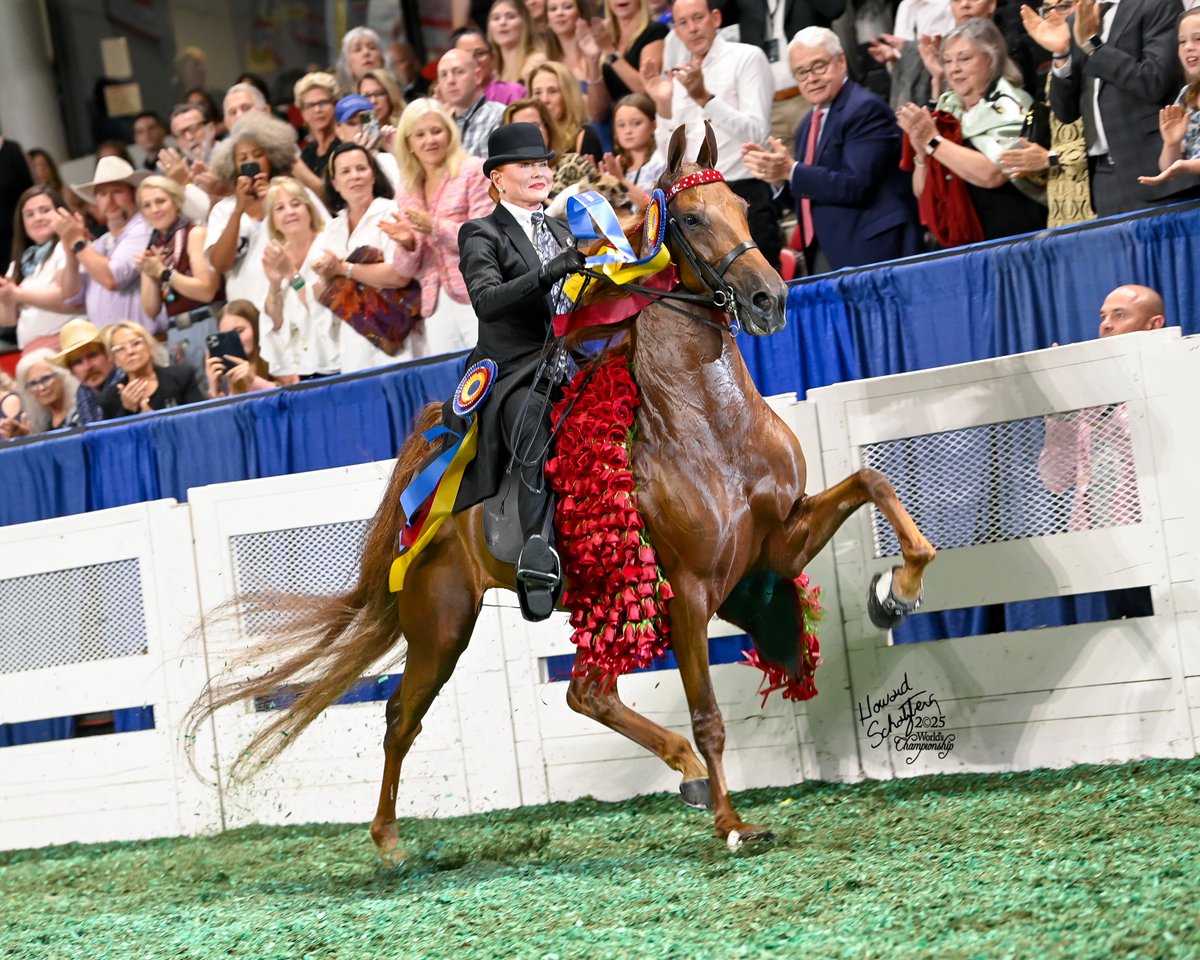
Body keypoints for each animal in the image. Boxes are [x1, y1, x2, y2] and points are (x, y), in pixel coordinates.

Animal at [189, 123, 935, 857]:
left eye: (743, 210)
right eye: (693, 218)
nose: (769, 301)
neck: (711, 421)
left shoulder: (772, 549)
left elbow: (874, 481)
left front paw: (894, 594)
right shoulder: (692, 588)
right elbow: (708, 715)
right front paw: (733, 826)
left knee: (585, 694)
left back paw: (681, 773)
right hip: (443, 621)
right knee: (411, 713)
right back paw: (390, 841)